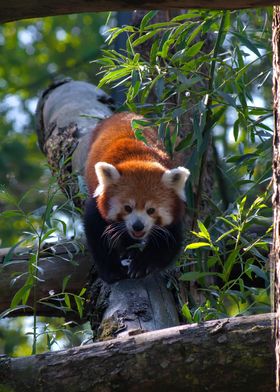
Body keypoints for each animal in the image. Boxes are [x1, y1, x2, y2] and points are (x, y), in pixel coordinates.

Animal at [82, 112, 188, 284]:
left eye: (151, 210)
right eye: (127, 208)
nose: (138, 226)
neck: (139, 158)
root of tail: (125, 113)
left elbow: (169, 242)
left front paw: (141, 266)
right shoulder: (97, 203)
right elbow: (97, 235)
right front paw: (112, 272)